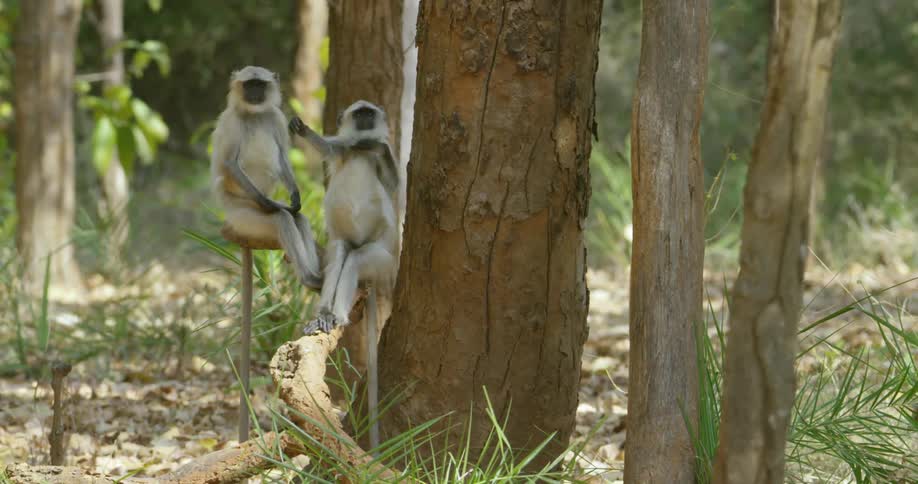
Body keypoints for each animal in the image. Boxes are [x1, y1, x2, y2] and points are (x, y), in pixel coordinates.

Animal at [210, 66, 323, 290]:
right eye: (249, 85)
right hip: (242, 218)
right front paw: (269, 204)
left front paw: (295, 196)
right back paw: (308, 277)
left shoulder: (276, 117)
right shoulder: (231, 121)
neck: (255, 114)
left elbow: (282, 155)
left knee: (298, 217)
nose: (254, 93)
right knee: (283, 218)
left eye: (259, 85)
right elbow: (229, 163)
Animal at [289, 100, 401, 449]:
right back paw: (323, 315)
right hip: (350, 247)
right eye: (359, 114)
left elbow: (394, 184)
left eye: (370, 114)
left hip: (379, 260)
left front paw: (379, 144)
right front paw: (301, 128)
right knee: (340, 252)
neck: (360, 148)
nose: (366, 122)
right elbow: (326, 146)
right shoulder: (343, 149)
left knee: (353, 260)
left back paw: (336, 315)